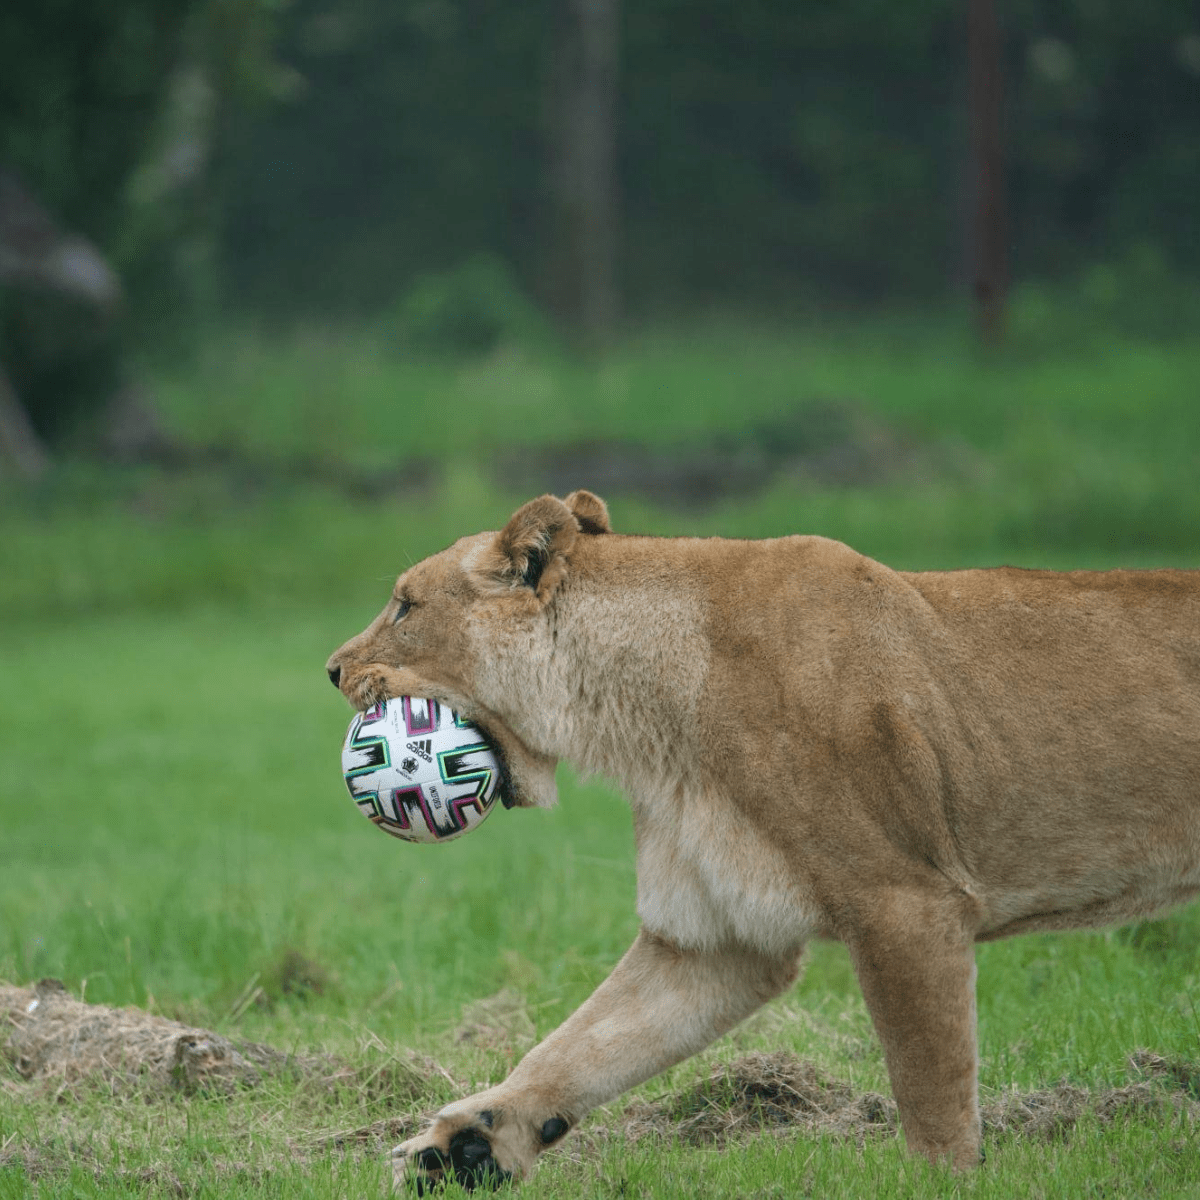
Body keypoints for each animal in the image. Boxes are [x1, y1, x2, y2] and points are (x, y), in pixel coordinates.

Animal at [326, 490, 1200, 1191]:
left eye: (404, 606)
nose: (332, 669)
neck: (636, 714)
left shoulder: (906, 904)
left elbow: (932, 1085)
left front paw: (942, 1183)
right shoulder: (711, 937)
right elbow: (581, 1047)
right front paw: (462, 1147)